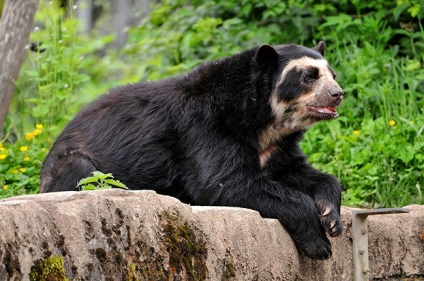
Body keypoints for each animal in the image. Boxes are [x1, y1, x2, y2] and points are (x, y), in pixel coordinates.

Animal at [39, 41, 344, 258]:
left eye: (332, 74)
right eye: (309, 76)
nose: (337, 94)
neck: (262, 121)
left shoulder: (277, 147)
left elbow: (299, 171)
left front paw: (331, 217)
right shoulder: (205, 127)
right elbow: (224, 182)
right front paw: (318, 243)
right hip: (71, 165)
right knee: (81, 171)